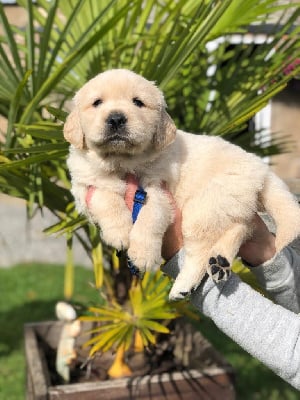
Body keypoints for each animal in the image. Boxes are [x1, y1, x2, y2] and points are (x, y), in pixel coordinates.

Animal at [63, 69, 300, 300]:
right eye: (97, 103)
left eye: (138, 102)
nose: (116, 118)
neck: (122, 162)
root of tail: (262, 169)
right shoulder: (83, 187)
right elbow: (104, 197)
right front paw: (119, 232)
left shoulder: (158, 192)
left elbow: (149, 219)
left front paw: (143, 255)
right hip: (230, 205)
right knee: (241, 227)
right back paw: (220, 262)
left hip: (205, 206)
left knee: (201, 250)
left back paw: (184, 285)